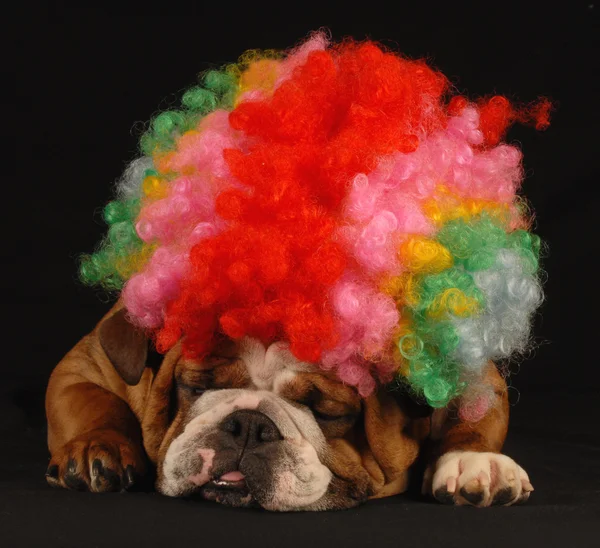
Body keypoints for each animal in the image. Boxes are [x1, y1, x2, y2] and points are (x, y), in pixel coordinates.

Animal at [47, 304, 532, 510]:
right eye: (195, 386)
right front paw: (99, 447)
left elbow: (472, 418)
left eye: (330, 413)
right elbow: (96, 400)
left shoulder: (473, 371)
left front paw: (474, 461)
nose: (248, 424)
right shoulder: (86, 363)